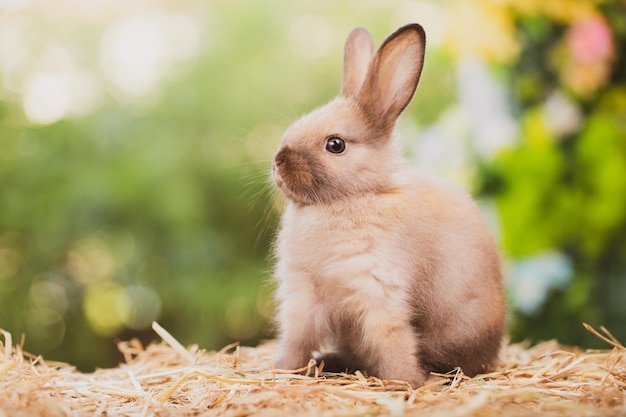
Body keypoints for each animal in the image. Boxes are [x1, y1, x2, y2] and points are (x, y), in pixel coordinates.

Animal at [270, 22, 504, 386]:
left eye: (335, 144)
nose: (278, 161)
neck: (350, 198)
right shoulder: (304, 298)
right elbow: (296, 340)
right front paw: (281, 370)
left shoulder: (379, 292)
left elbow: (392, 341)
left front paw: (405, 383)